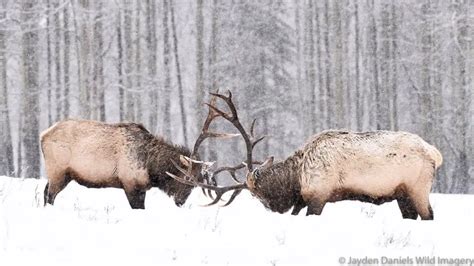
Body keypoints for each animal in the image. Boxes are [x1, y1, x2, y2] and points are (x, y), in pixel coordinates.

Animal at [39, 98, 234, 209]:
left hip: (63, 175)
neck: (151, 168)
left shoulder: (141, 188)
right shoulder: (130, 183)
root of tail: (43, 135)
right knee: (49, 195)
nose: (180, 201)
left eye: (198, 180)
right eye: (187, 177)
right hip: (57, 171)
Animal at [170, 90, 444, 219]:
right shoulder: (303, 200)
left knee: (429, 216)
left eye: (257, 193)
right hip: (403, 195)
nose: (274, 209)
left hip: (418, 188)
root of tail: (435, 154)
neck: (297, 177)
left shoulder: (318, 195)